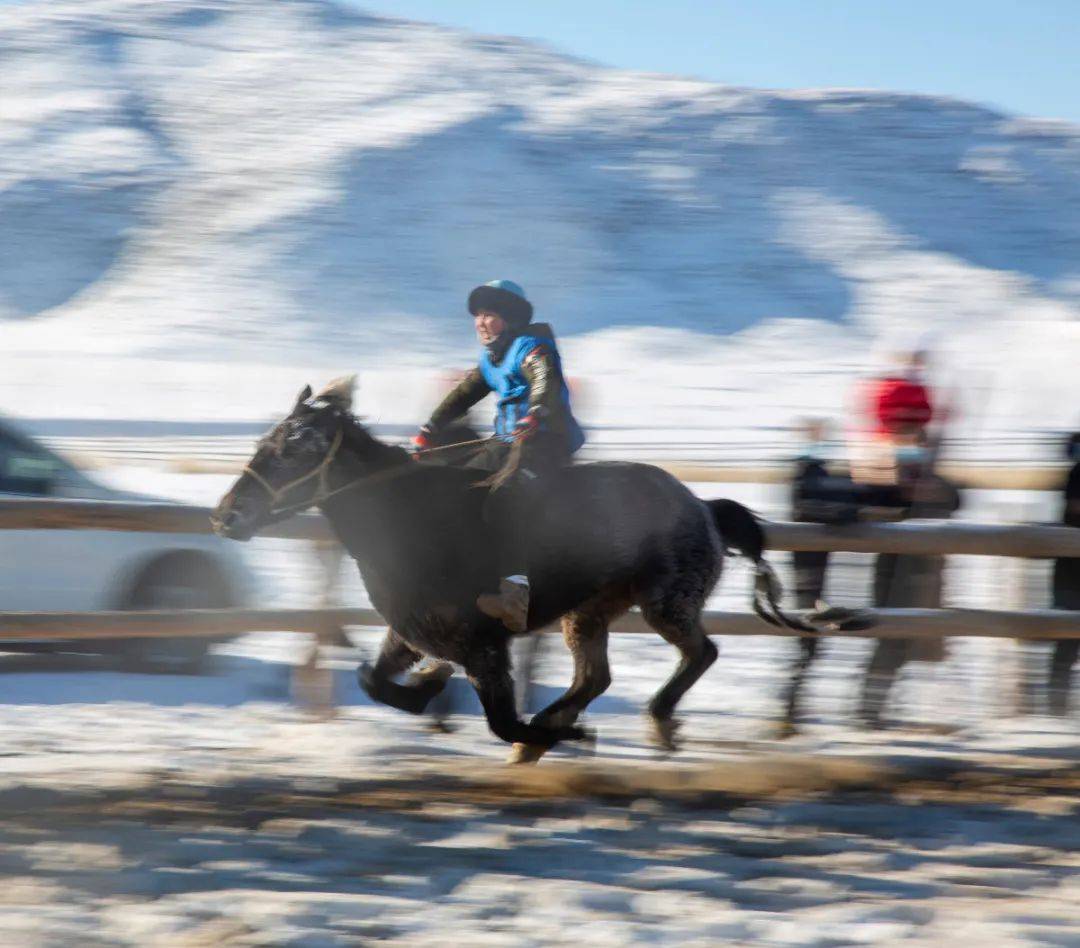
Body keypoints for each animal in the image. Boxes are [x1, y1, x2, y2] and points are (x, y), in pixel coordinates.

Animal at [212, 382, 816, 760]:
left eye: (292, 449)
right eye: (264, 442)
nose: (224, 516)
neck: (407, 521)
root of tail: (704, 507)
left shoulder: (482, 646)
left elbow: (501, 721)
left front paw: (551, 738)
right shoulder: (412, 631)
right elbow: (373, 680)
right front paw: (431, 685)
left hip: (666, 603)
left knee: (700, 653)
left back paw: (653, 717)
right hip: (589, 613)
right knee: (595, 677)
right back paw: (565, 719)